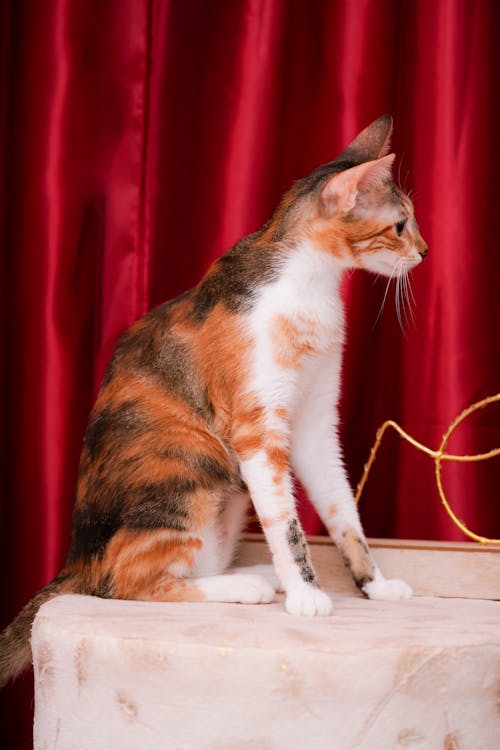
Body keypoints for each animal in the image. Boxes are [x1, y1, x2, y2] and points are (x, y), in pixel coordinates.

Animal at [1, 116, 428, 688]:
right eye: (400, 225)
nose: (424, 251)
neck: (312, 287)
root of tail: (75, 558)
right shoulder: (256, 425)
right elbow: (287, 522)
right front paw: (308, 595)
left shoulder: (315, 419)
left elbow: (342, 510)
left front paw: (374, 584)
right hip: (194, 462)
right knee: (125, 581)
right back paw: (248, 586)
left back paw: (258, 574)